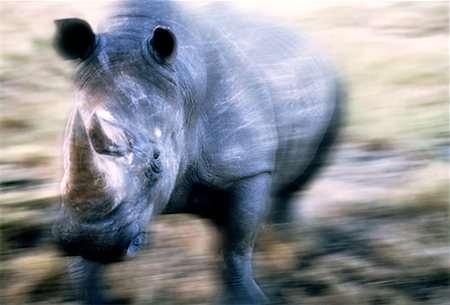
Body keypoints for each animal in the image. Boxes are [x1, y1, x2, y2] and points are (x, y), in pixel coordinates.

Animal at [51, 1, 342, 302]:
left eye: (156, 160)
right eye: (66, 158)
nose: (90, 239)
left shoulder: (248, 169)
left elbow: (235, 245)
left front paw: (249, 300)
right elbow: (82, 264)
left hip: (335, 81)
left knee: (304, 175)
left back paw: (289, 239)